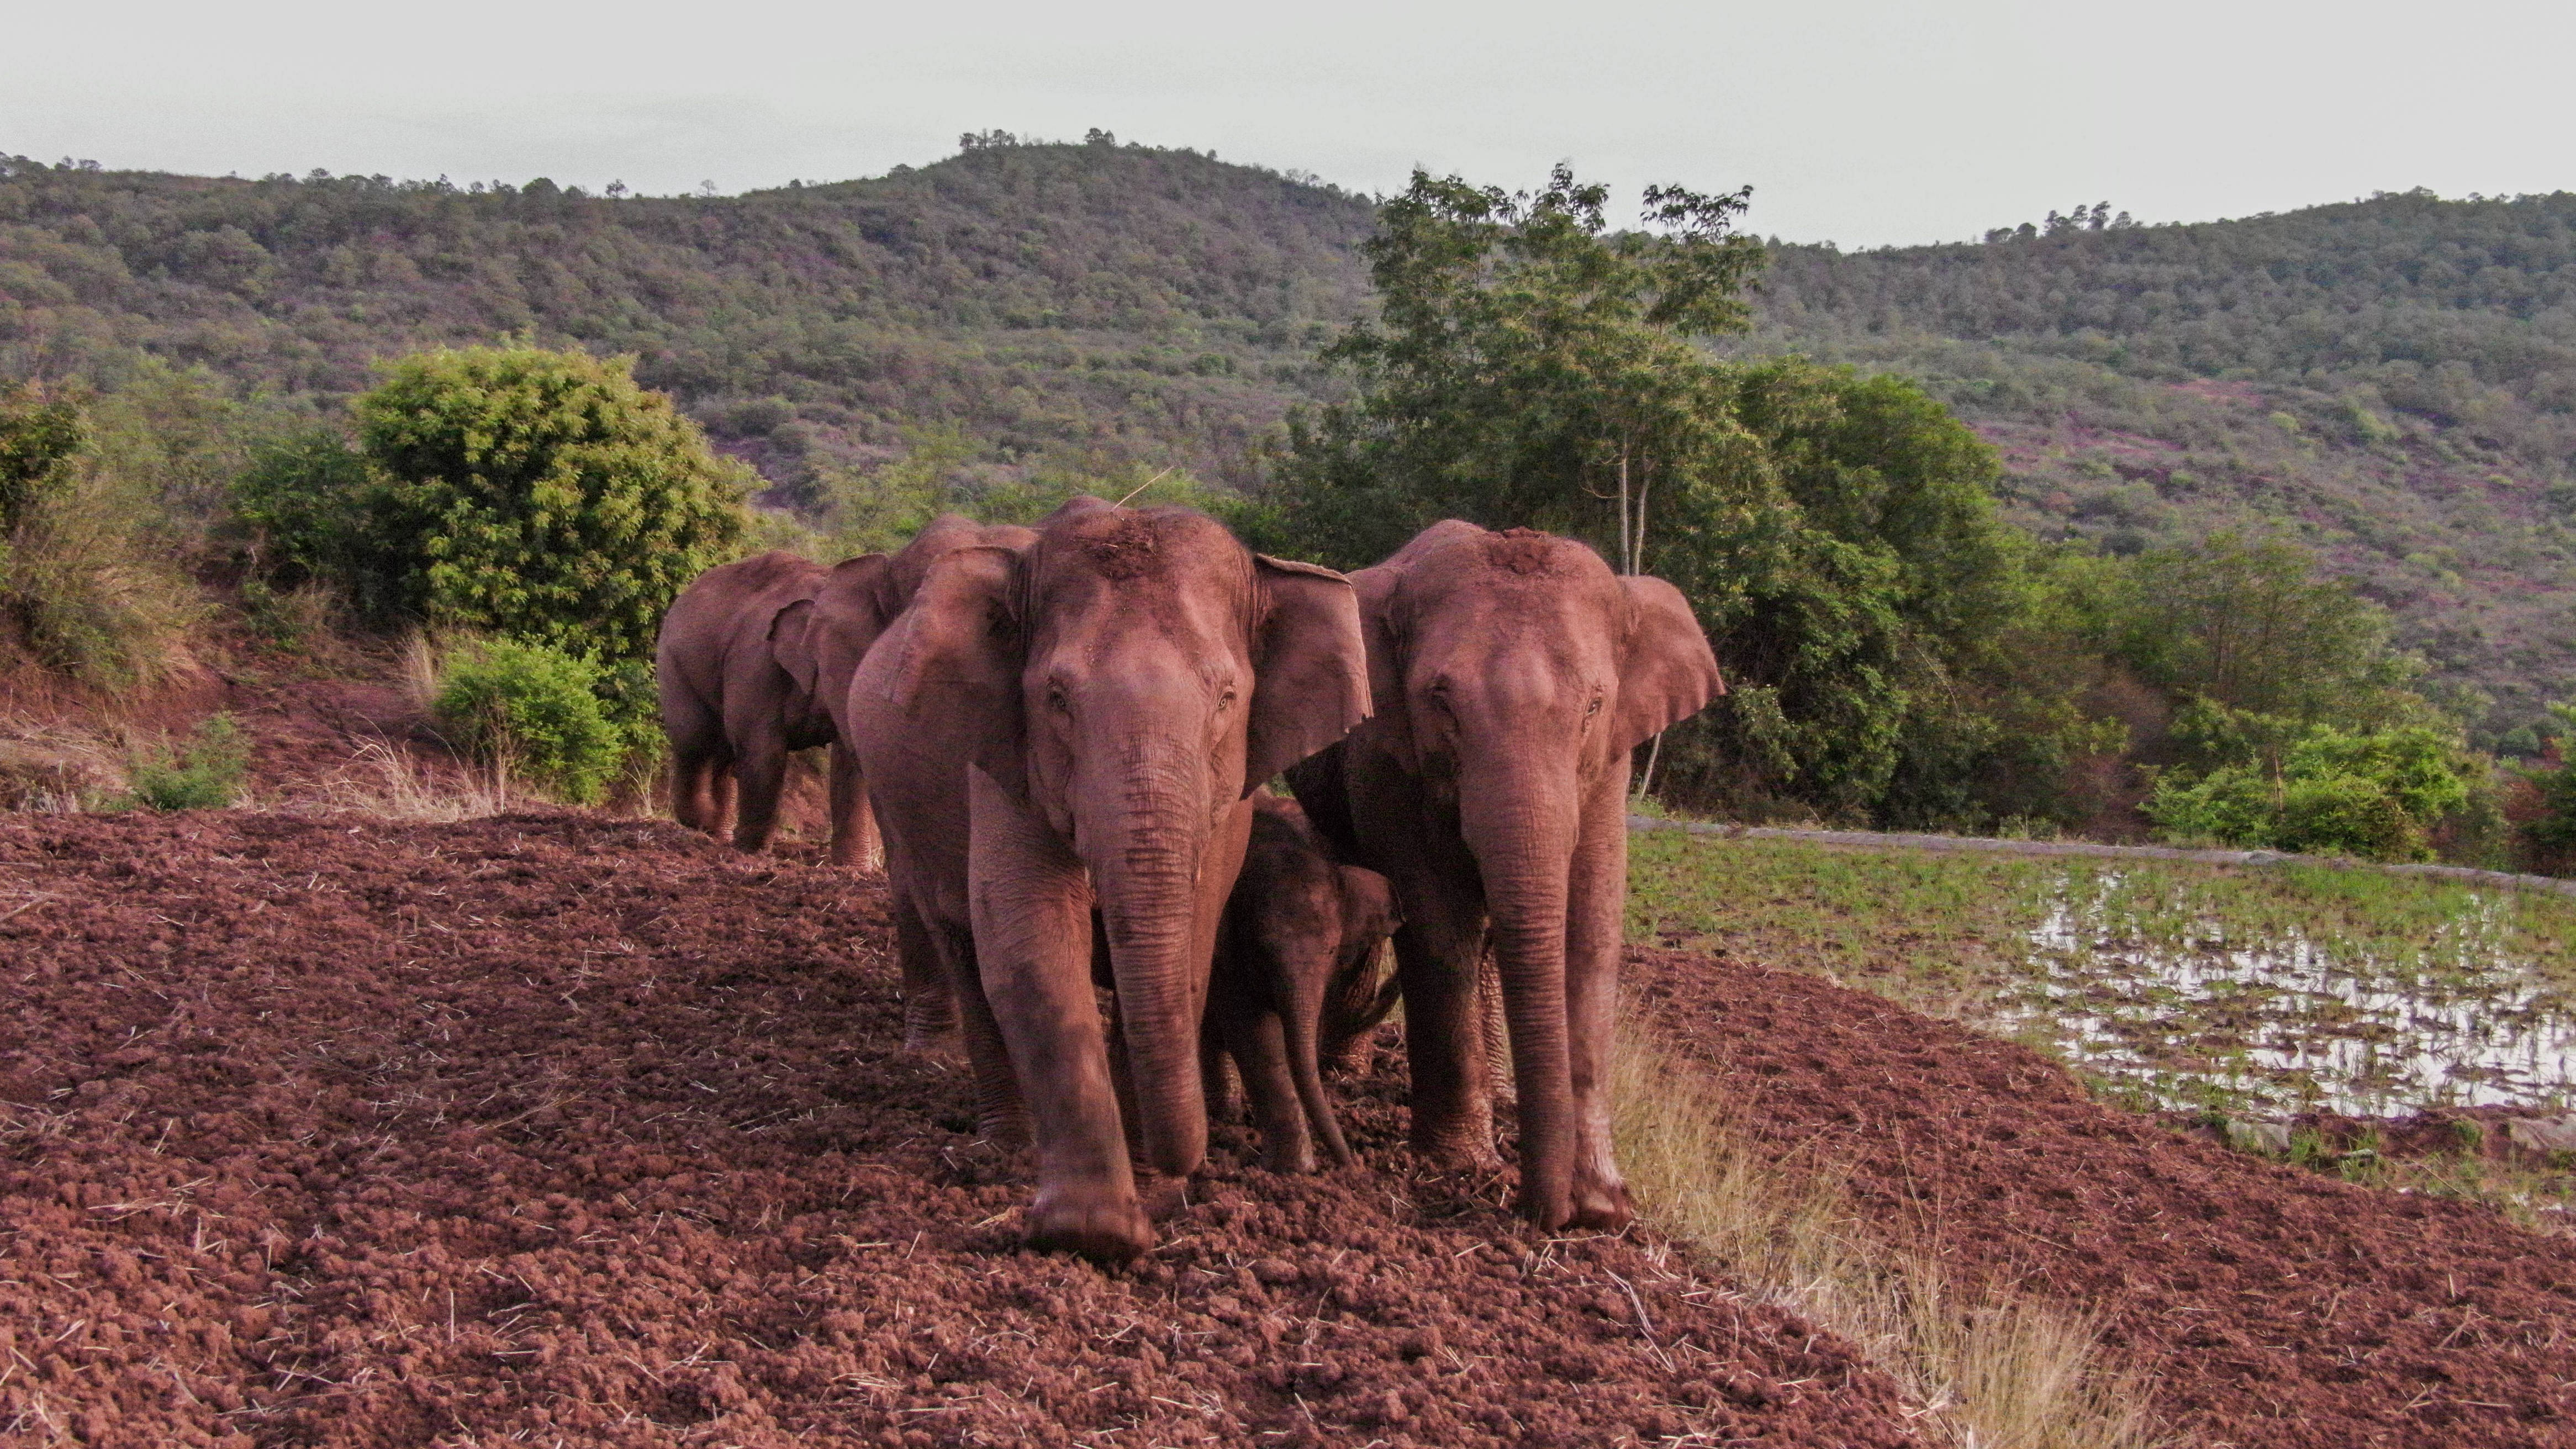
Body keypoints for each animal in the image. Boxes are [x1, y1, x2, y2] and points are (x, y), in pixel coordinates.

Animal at [844, 499, 1370, 1261]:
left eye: (1227, 695)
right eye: (1056, 696)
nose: (1184, 1166)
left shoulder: (1231, 797)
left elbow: (1192, 946)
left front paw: (1145, 1187)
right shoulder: (1006, 755)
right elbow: (1030, 943)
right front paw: (1094, 1232)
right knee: (962, 945)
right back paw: (1004, 1146)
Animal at [1200, 792, 1401, 1178]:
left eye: (1333, 950)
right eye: (1260, 947)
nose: (1354, 1167)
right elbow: (1251, 1026)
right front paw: (1293, 1171)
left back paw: (1226, 1116)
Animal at [1288, 522, 1731, 1235]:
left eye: (1595, 704)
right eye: (1440, 700)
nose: (1550, 1214)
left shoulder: (1610, 763)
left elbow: (1590, 928)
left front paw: (1604, 1200)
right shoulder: (1388, 755)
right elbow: (1437, 927)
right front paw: (1460, 1165)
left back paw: (1498, 1094)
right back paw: (1345, 1070)